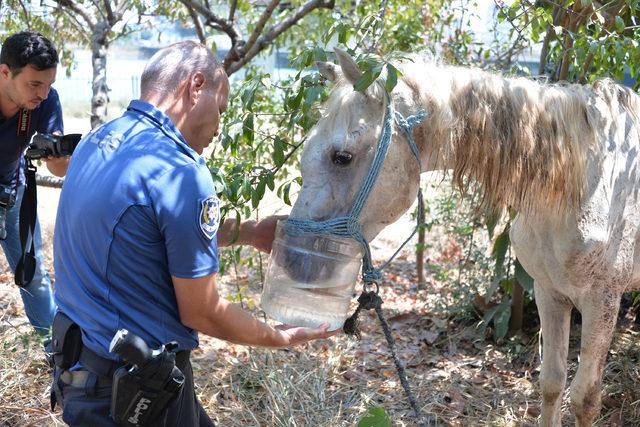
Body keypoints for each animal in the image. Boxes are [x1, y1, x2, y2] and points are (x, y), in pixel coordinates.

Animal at [290, 48, 640, 426]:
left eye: (342, 157)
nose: (296, 261)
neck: (579, 183)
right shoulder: (549, 292)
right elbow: (552, 383)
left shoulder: (602, 301)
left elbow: (584, 399)